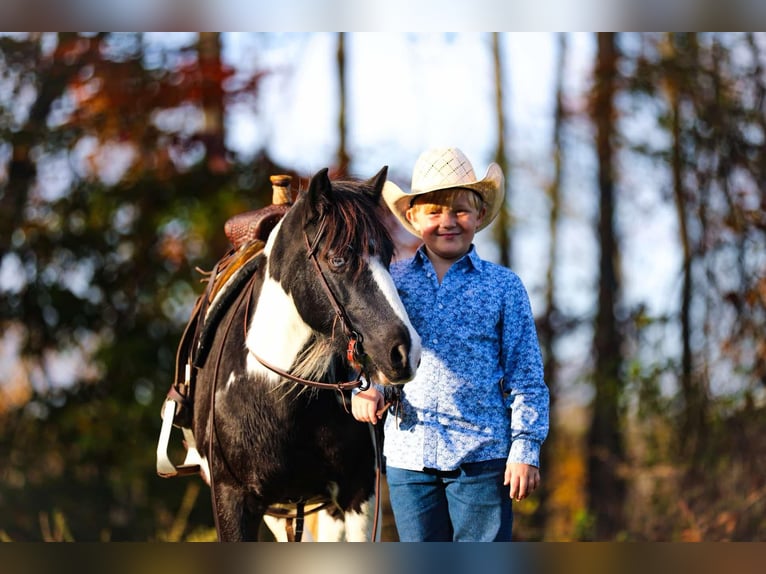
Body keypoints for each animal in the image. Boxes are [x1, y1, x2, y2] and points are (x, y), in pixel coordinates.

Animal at [161, 166, 421, 541]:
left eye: (387, 258)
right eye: (338, 259)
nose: (404, 352)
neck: (273, 394)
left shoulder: (359, 494)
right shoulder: (232, 500)